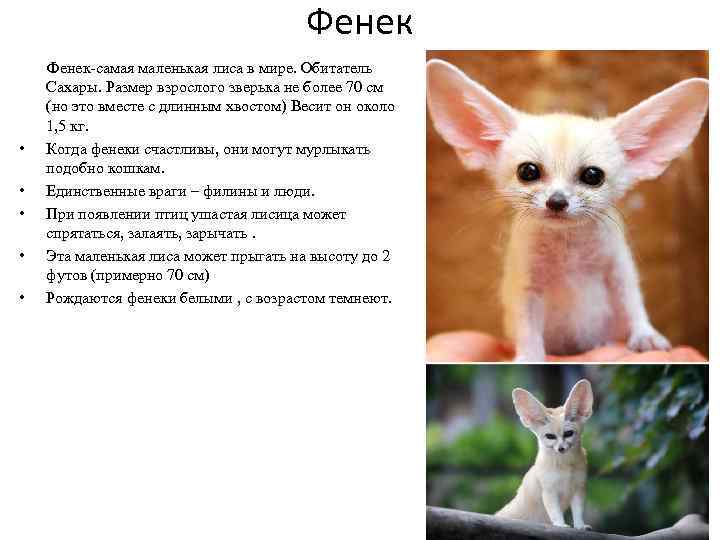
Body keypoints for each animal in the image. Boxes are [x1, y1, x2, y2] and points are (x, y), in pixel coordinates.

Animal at [426, 59, 709, 361]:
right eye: (528, 171)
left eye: (593, 176)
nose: (557, 201)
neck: (568, 252)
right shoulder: (524, 284)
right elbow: (527, 327)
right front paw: (529, 356)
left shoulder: (619, 269)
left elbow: (632, 302)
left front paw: (645, 334)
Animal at [497, 379, 594, 529]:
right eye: (550, 436)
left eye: (568, 434)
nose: (561, 448)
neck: (565, 468)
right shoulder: (549, 492)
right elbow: (555, 512)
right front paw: (560, 525)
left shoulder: (578, 488)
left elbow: (578, 512)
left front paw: (580, 526)